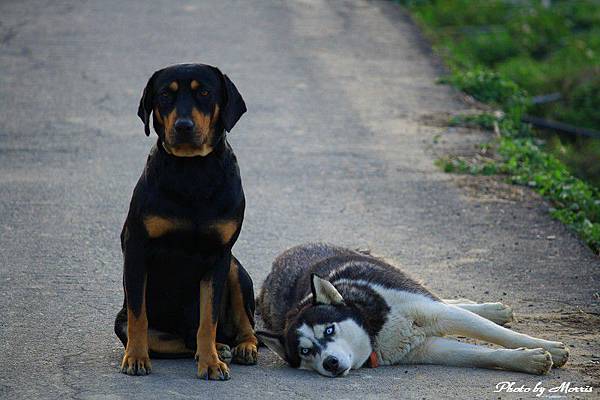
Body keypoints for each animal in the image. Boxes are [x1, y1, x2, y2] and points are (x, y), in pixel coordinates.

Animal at [115, 63, 258, 382]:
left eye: (204, 92)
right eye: (165, 95)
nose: (183, 126)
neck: (193, 170)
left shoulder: (219, 257)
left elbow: (208, 319)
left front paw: (211, 363)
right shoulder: (137, 248)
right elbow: (139, 317)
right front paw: (136, 358)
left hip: (235, 269)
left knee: (244, 326)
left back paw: (240, 347)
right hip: (122, 320)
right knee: (172, 337)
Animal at [255, 242, 568, 376]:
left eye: (329, 330)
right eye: (305, 352)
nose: (329, 363)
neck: (377, 331)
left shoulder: (435, 313)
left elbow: (499, 336)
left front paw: (549, 348)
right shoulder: (427, 350)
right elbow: (483, 355)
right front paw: (527, 360)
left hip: (398, 277)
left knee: (442, 299)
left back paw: (491, 309)